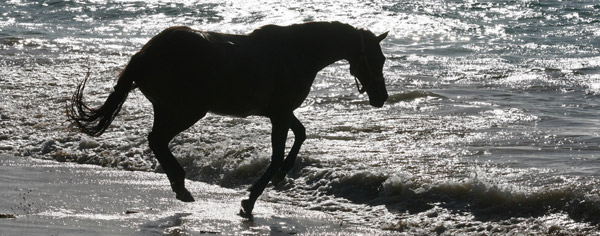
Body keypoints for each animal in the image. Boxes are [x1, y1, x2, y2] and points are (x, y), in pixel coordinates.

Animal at [68, 20, 390, 216]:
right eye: (378, 59)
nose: (381, 97)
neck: (297, 52)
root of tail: (145, 53)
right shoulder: (280, 113)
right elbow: (278, 153)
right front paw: (250, 200)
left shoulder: (281, 111)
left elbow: (301, 135)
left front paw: (282, 174)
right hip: (188, 110)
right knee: (158, 139)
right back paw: (182, 186)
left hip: (168, 108)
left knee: (156, 141)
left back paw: (179, 184)